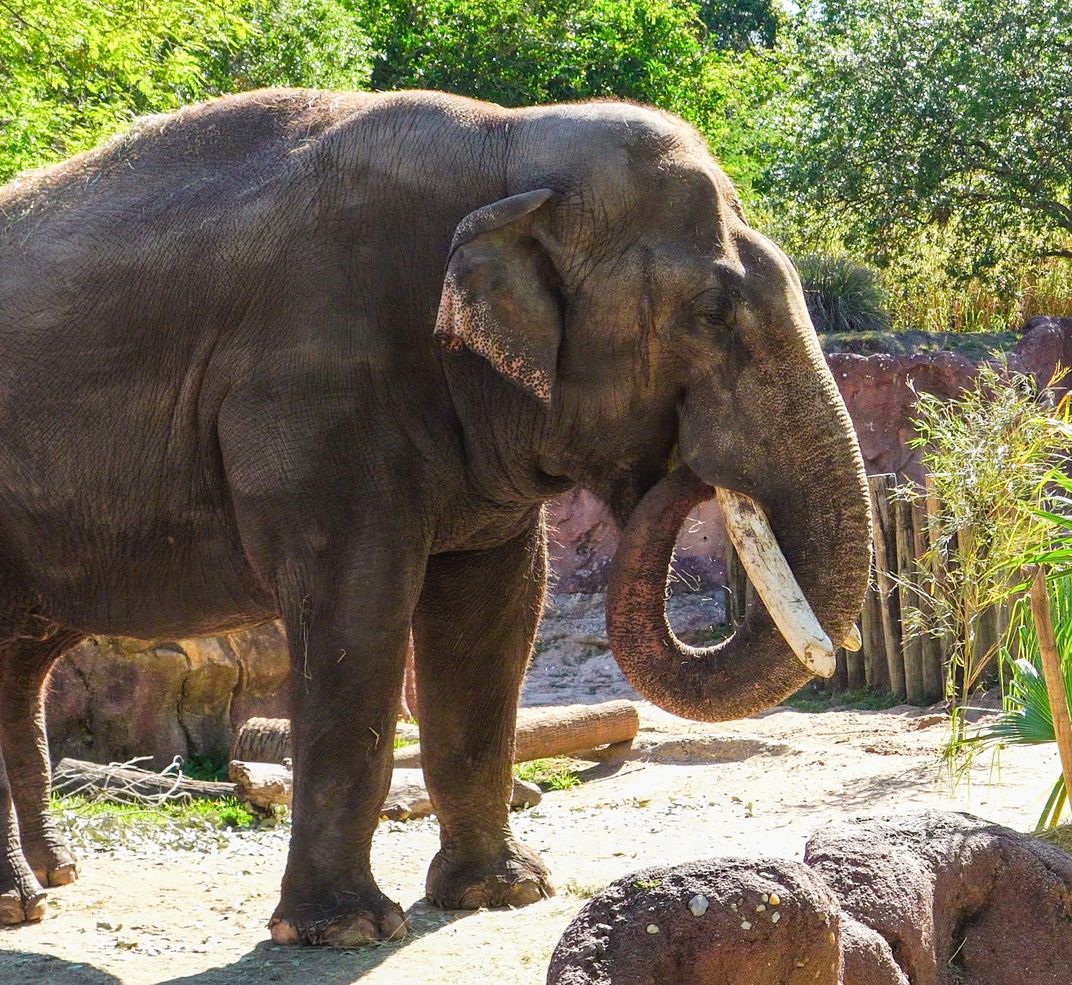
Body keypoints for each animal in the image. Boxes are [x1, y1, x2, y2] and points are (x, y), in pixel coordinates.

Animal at [0, 90, 870, 947]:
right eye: (713, 312)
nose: (688, 466)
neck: (510, 142)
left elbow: (492, 609)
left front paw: (503, 891)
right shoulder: (313, 390)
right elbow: (356, 609)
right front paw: (346, 929)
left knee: (20, 663)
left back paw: (52, 878)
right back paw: (23, 901)